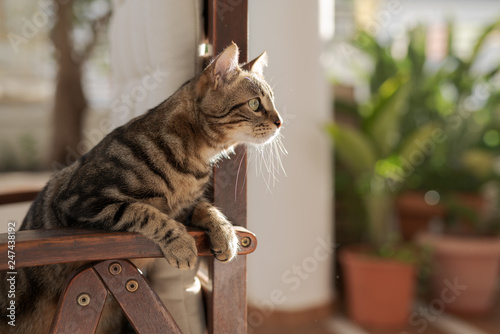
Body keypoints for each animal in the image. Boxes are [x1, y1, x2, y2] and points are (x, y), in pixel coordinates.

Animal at [0, 43, 282, 332]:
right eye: (255, 104)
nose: (280, 121)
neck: (194, 158)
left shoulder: (186, 206)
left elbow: (207, 208)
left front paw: (226, 235)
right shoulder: (82, 202)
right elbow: (144, 212)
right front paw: (182, 244)